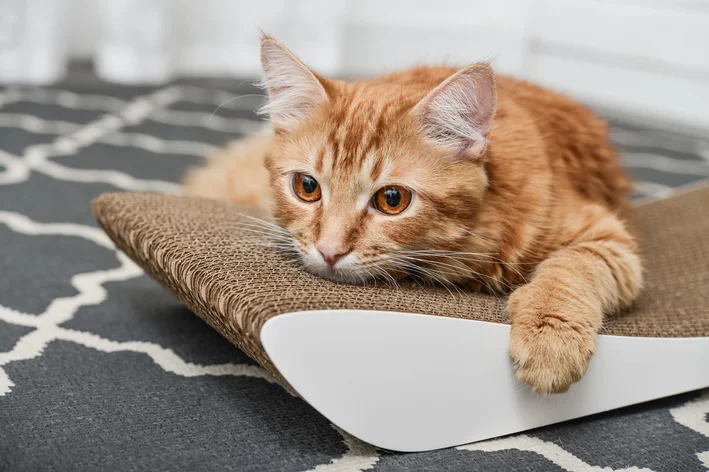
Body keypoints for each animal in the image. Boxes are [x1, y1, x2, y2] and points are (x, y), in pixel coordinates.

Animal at [184, 35, 640, 392]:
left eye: (392, 200)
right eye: (307, 187)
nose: (330, 251)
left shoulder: (608, 239)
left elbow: (570, 270)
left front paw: (550, 340)